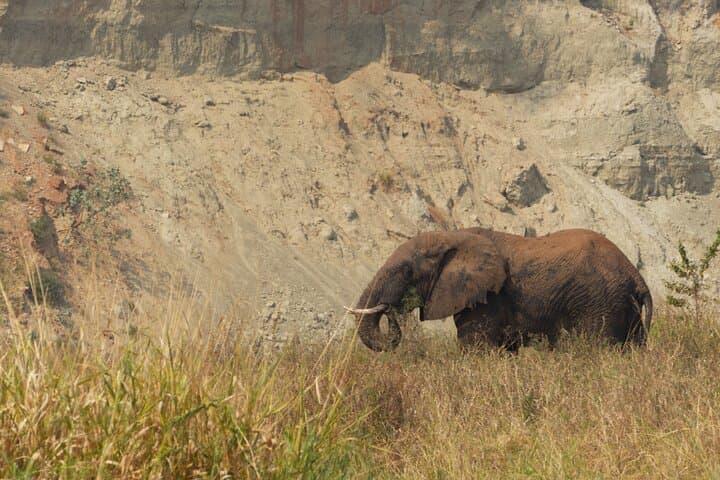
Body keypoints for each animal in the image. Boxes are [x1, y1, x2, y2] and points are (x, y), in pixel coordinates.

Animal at [345, 228, 652, 352]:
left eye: (406, 271)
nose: (390, 311)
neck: (452, 236)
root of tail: (636, 277)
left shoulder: (486, 298)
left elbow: (476, 348)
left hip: (599, 302)